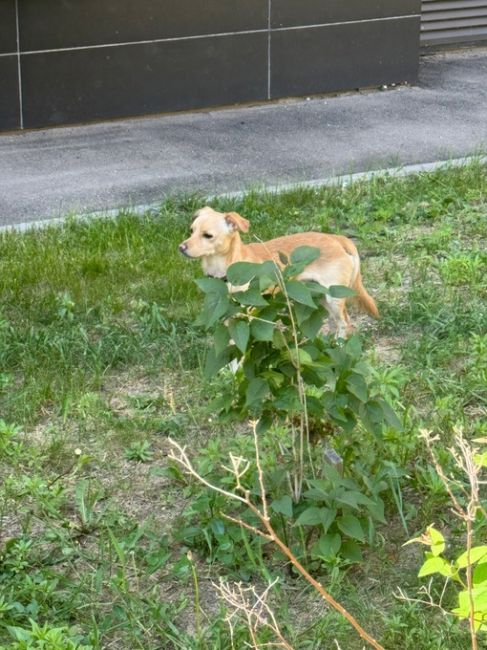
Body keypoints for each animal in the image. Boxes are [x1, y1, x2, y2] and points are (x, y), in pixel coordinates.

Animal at [177, 206, 380, 340]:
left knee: (345, 323)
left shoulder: (248, 315)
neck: (228, 270)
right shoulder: (227, 316)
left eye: (208, 236)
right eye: (191, 231)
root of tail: (337, 238)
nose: (181, 247)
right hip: (321, 296)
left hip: (334, 297)